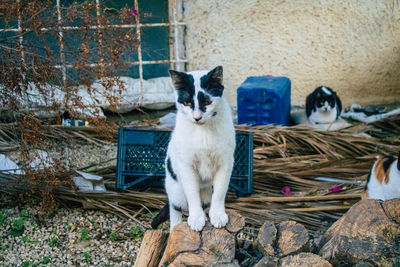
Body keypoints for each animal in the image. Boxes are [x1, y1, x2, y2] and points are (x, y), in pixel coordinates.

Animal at [152, 65, 236, 232]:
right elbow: (192, 193)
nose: (197, 117)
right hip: (175, 189)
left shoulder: (226, 162)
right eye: (186, 103)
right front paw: (196, 218)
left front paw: (217, 215)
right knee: (175, 207)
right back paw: (175, 226)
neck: (203, 132)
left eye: (208, 102)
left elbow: (220, 192)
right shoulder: (186, 165)